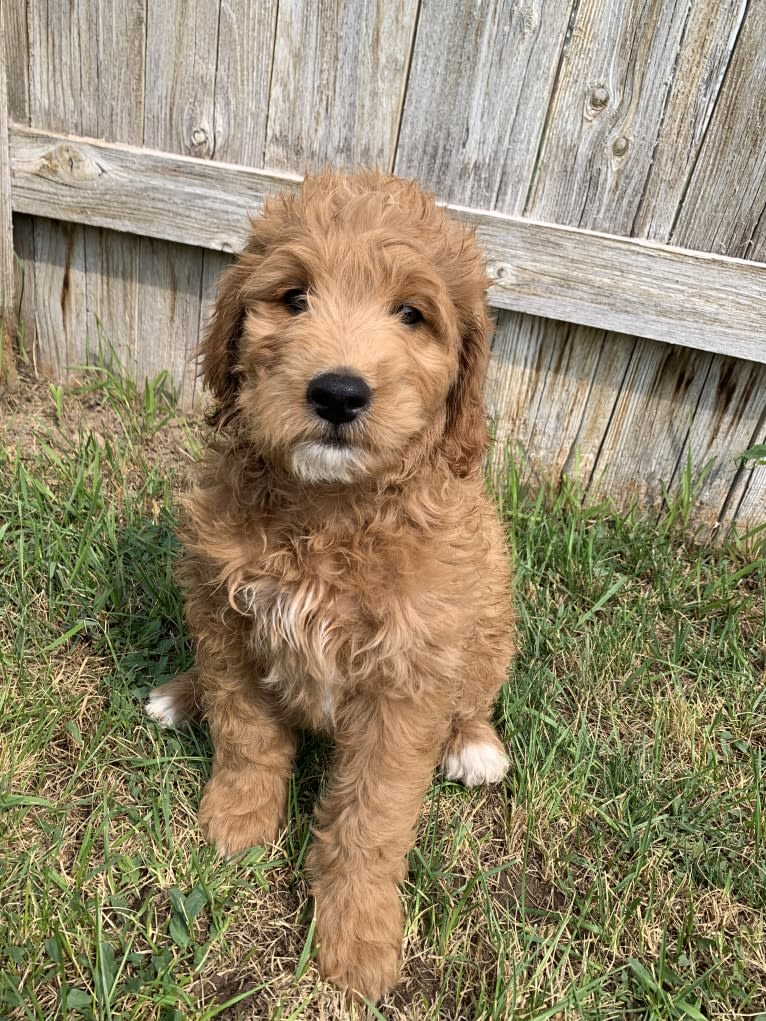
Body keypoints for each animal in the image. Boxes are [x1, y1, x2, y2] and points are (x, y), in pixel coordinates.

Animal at [145, 171, 516, 1000]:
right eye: (294, 298)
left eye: (411, 314)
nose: (339, 393)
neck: (328, 512)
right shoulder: (227, 615)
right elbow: (246, 736)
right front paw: (237, 825)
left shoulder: (404, 684)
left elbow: (370, 818)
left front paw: (356, 937)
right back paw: (179, 693)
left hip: (490, 617)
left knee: (474, 693)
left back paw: (475, 744)